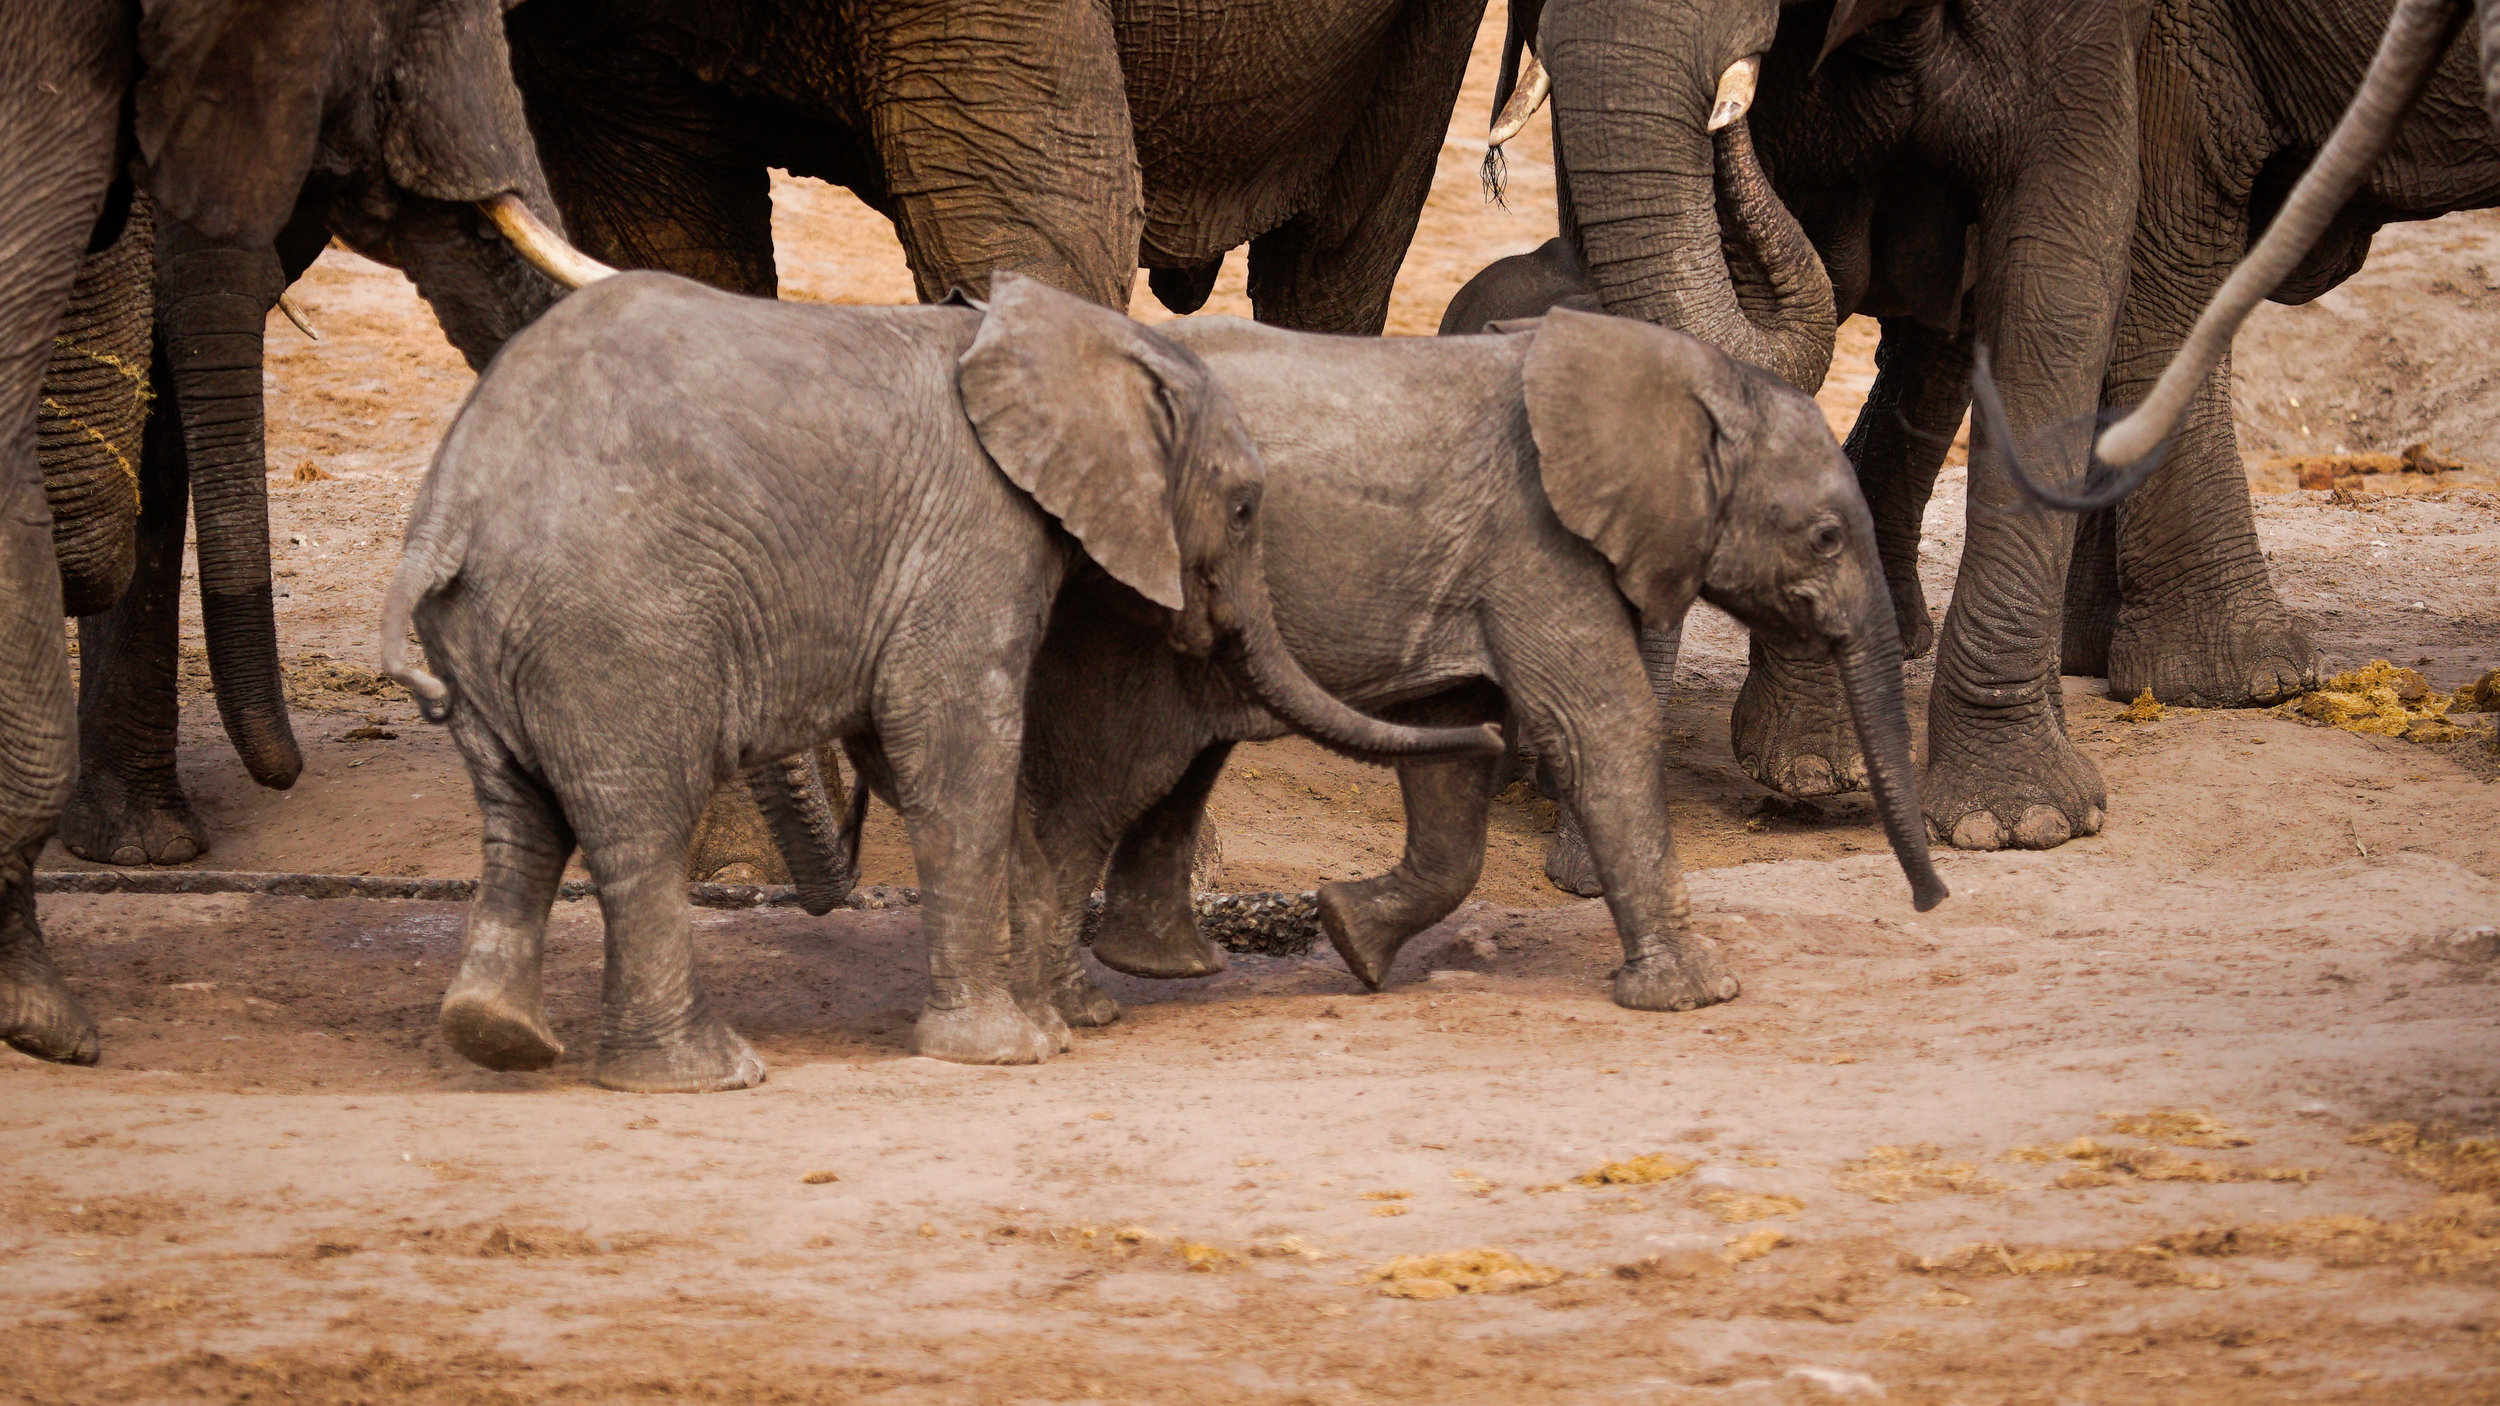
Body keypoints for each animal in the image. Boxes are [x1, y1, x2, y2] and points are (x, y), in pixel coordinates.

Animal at [377, 271, 1496, 1089]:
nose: (1489, 730)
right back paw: (704, 1072)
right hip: (616, 626)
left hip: (493, 635)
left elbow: (914, 746)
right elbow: (960, 740)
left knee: (520, 818)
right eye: (1248, 505)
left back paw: (497, 1038)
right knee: (640, 819)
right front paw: (1015, 1049)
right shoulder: (974, 529)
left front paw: (1062, 1016)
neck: (1057, 331)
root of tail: (451, 501)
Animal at [1006, 307, 1946, 1033]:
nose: (1932, 900)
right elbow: (1600, 725)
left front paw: (1352, 939)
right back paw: (1083, 1004)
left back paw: (1164, 968)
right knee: (1118, 776)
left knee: (1175, 769)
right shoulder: (1536, 542)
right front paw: (1700, 994)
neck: (1688, 378)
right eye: (1826, 537)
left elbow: (1452, 750)